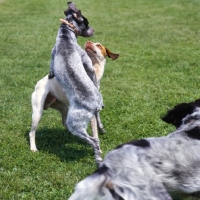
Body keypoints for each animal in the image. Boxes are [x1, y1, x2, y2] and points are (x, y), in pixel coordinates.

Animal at [30, 1, 104, 164]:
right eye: (87, 23)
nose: (94, 30)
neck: (65, 36)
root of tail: (93, 105)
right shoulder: (87, 62)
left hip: (63, 119)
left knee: (93, 140)